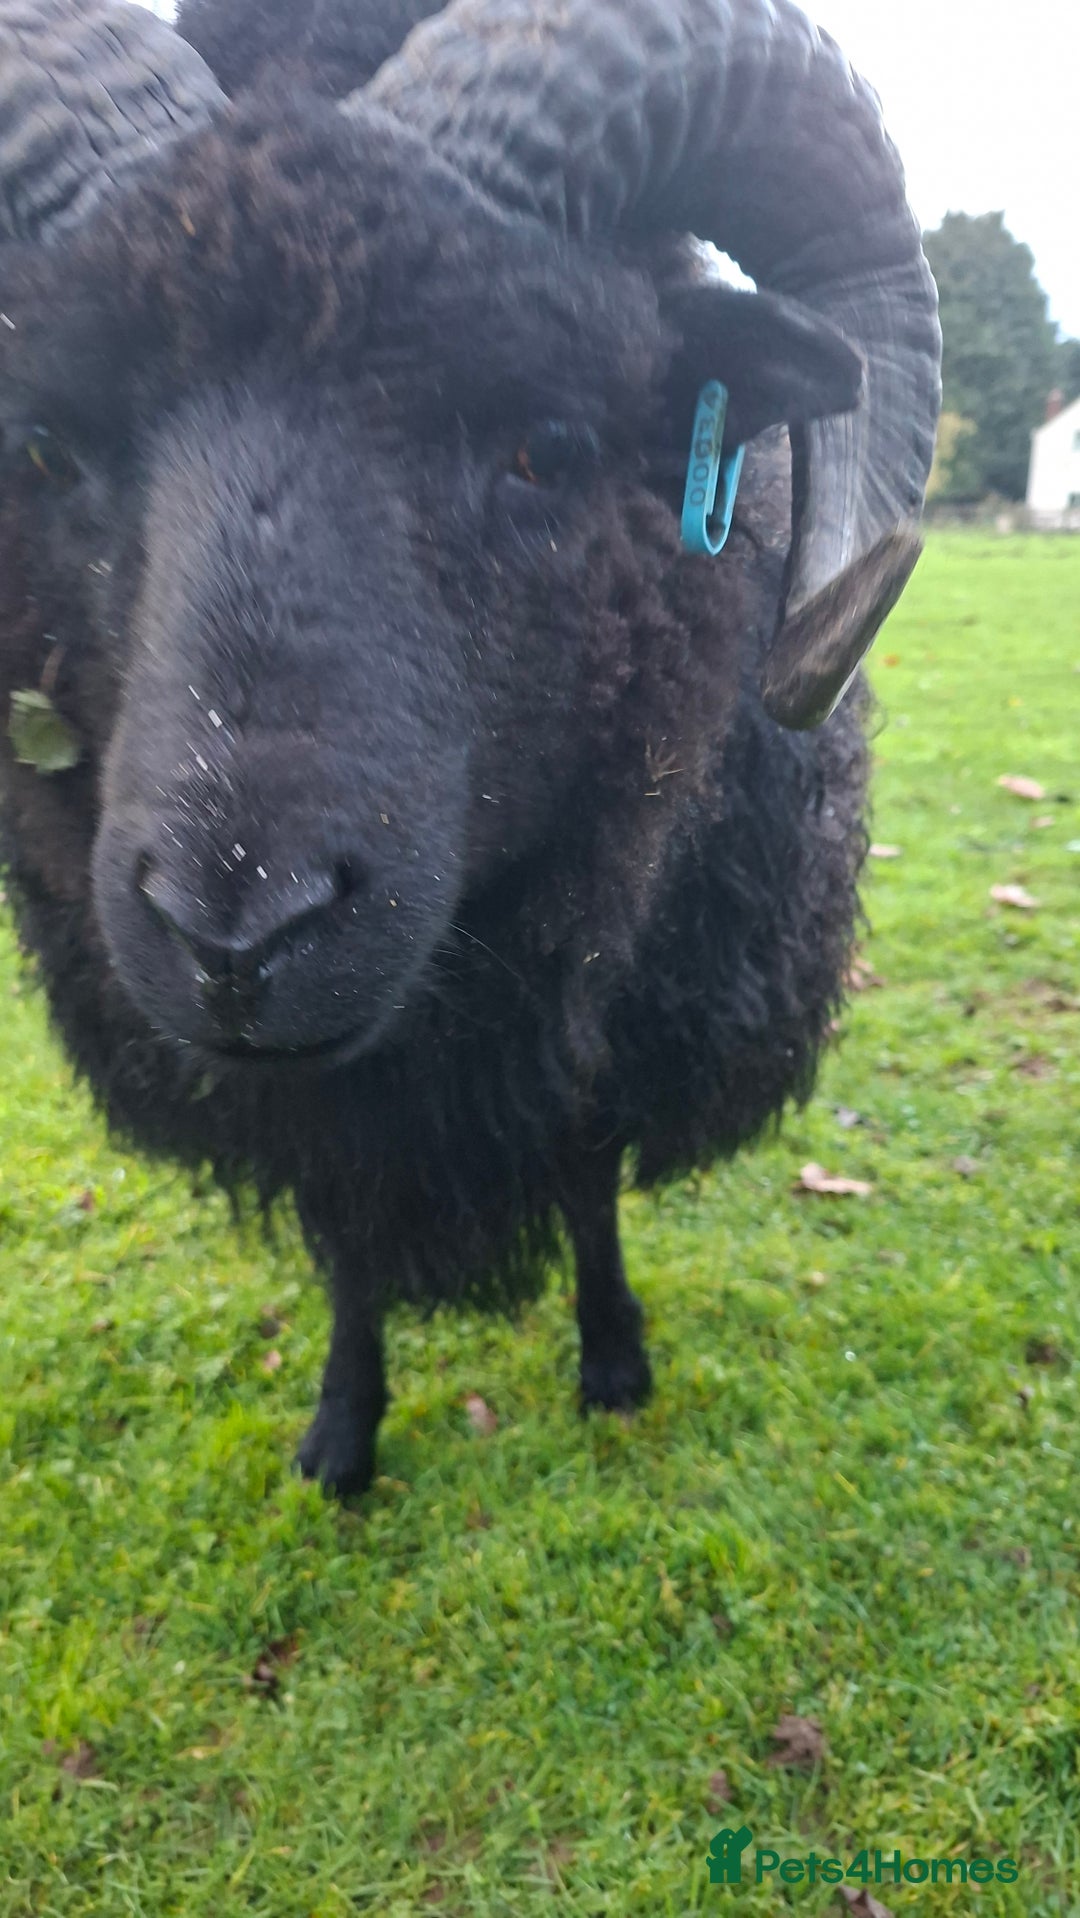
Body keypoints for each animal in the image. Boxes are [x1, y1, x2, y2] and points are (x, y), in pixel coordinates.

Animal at [0, 0, 940, 1494]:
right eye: (40, 448)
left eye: (546, 446)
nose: (237, 936)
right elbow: (345, 1227)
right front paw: (342, 1430)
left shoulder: (617, 980)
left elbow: (588, 1162)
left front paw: (612, 1359)